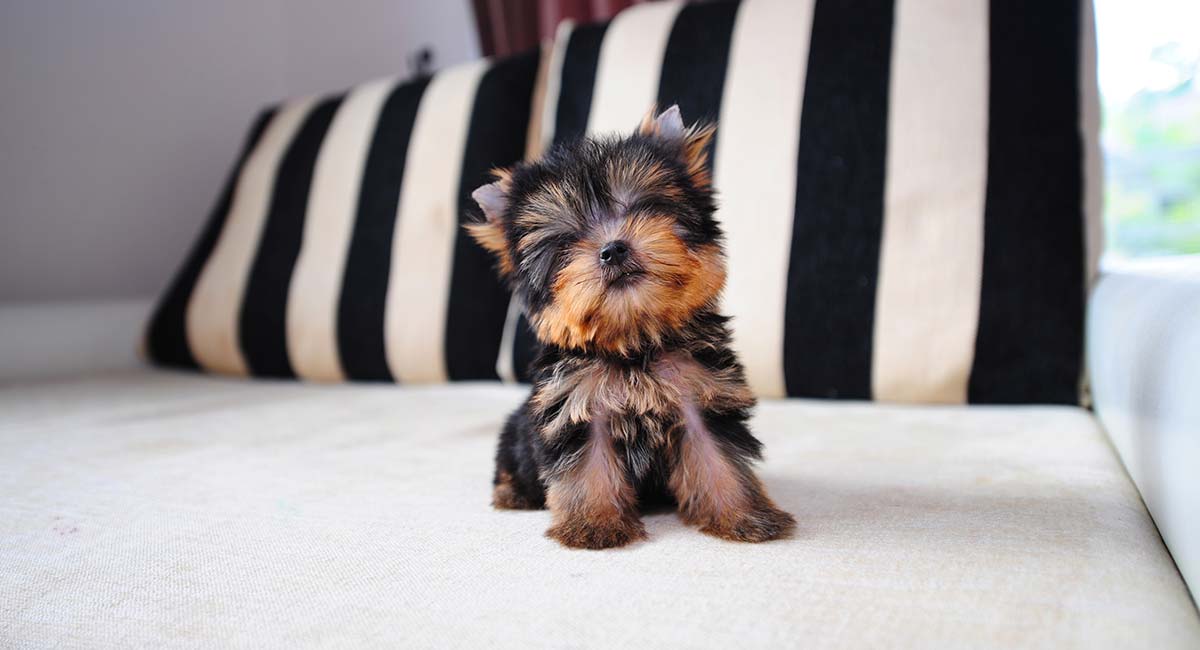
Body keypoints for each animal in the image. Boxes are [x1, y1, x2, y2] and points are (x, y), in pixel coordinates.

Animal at [468, 105, 796, 551]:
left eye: (644, 207)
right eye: (565, 241)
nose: (613, 249)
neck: (634, 340)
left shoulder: (703, 396)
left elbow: (719, 459)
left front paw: (744, 515)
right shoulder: (577, 407)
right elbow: (587, 468)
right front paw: (592, 525)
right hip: (517, 434)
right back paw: (512, 493)